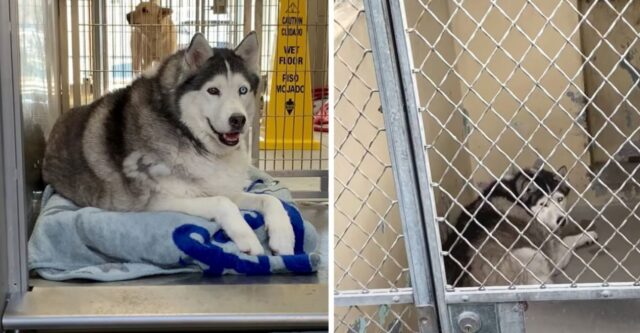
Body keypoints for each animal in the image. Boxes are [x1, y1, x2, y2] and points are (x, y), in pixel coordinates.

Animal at [43, 32, 296, 254]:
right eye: (213, 90)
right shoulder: (157, 202)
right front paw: (248, 239)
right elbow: (223, 203)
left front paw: (283, 238)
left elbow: (271, 199)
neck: (189, 136)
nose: (238, 120)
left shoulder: (223, 187)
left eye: (242, 90)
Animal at [442, 166, 596, 286]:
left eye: (560, 199)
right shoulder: (553, 257)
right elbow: (568, 240)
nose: (562, 220)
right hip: (531, 253)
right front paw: (588, 235)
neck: (517, 196)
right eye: (543, 204)